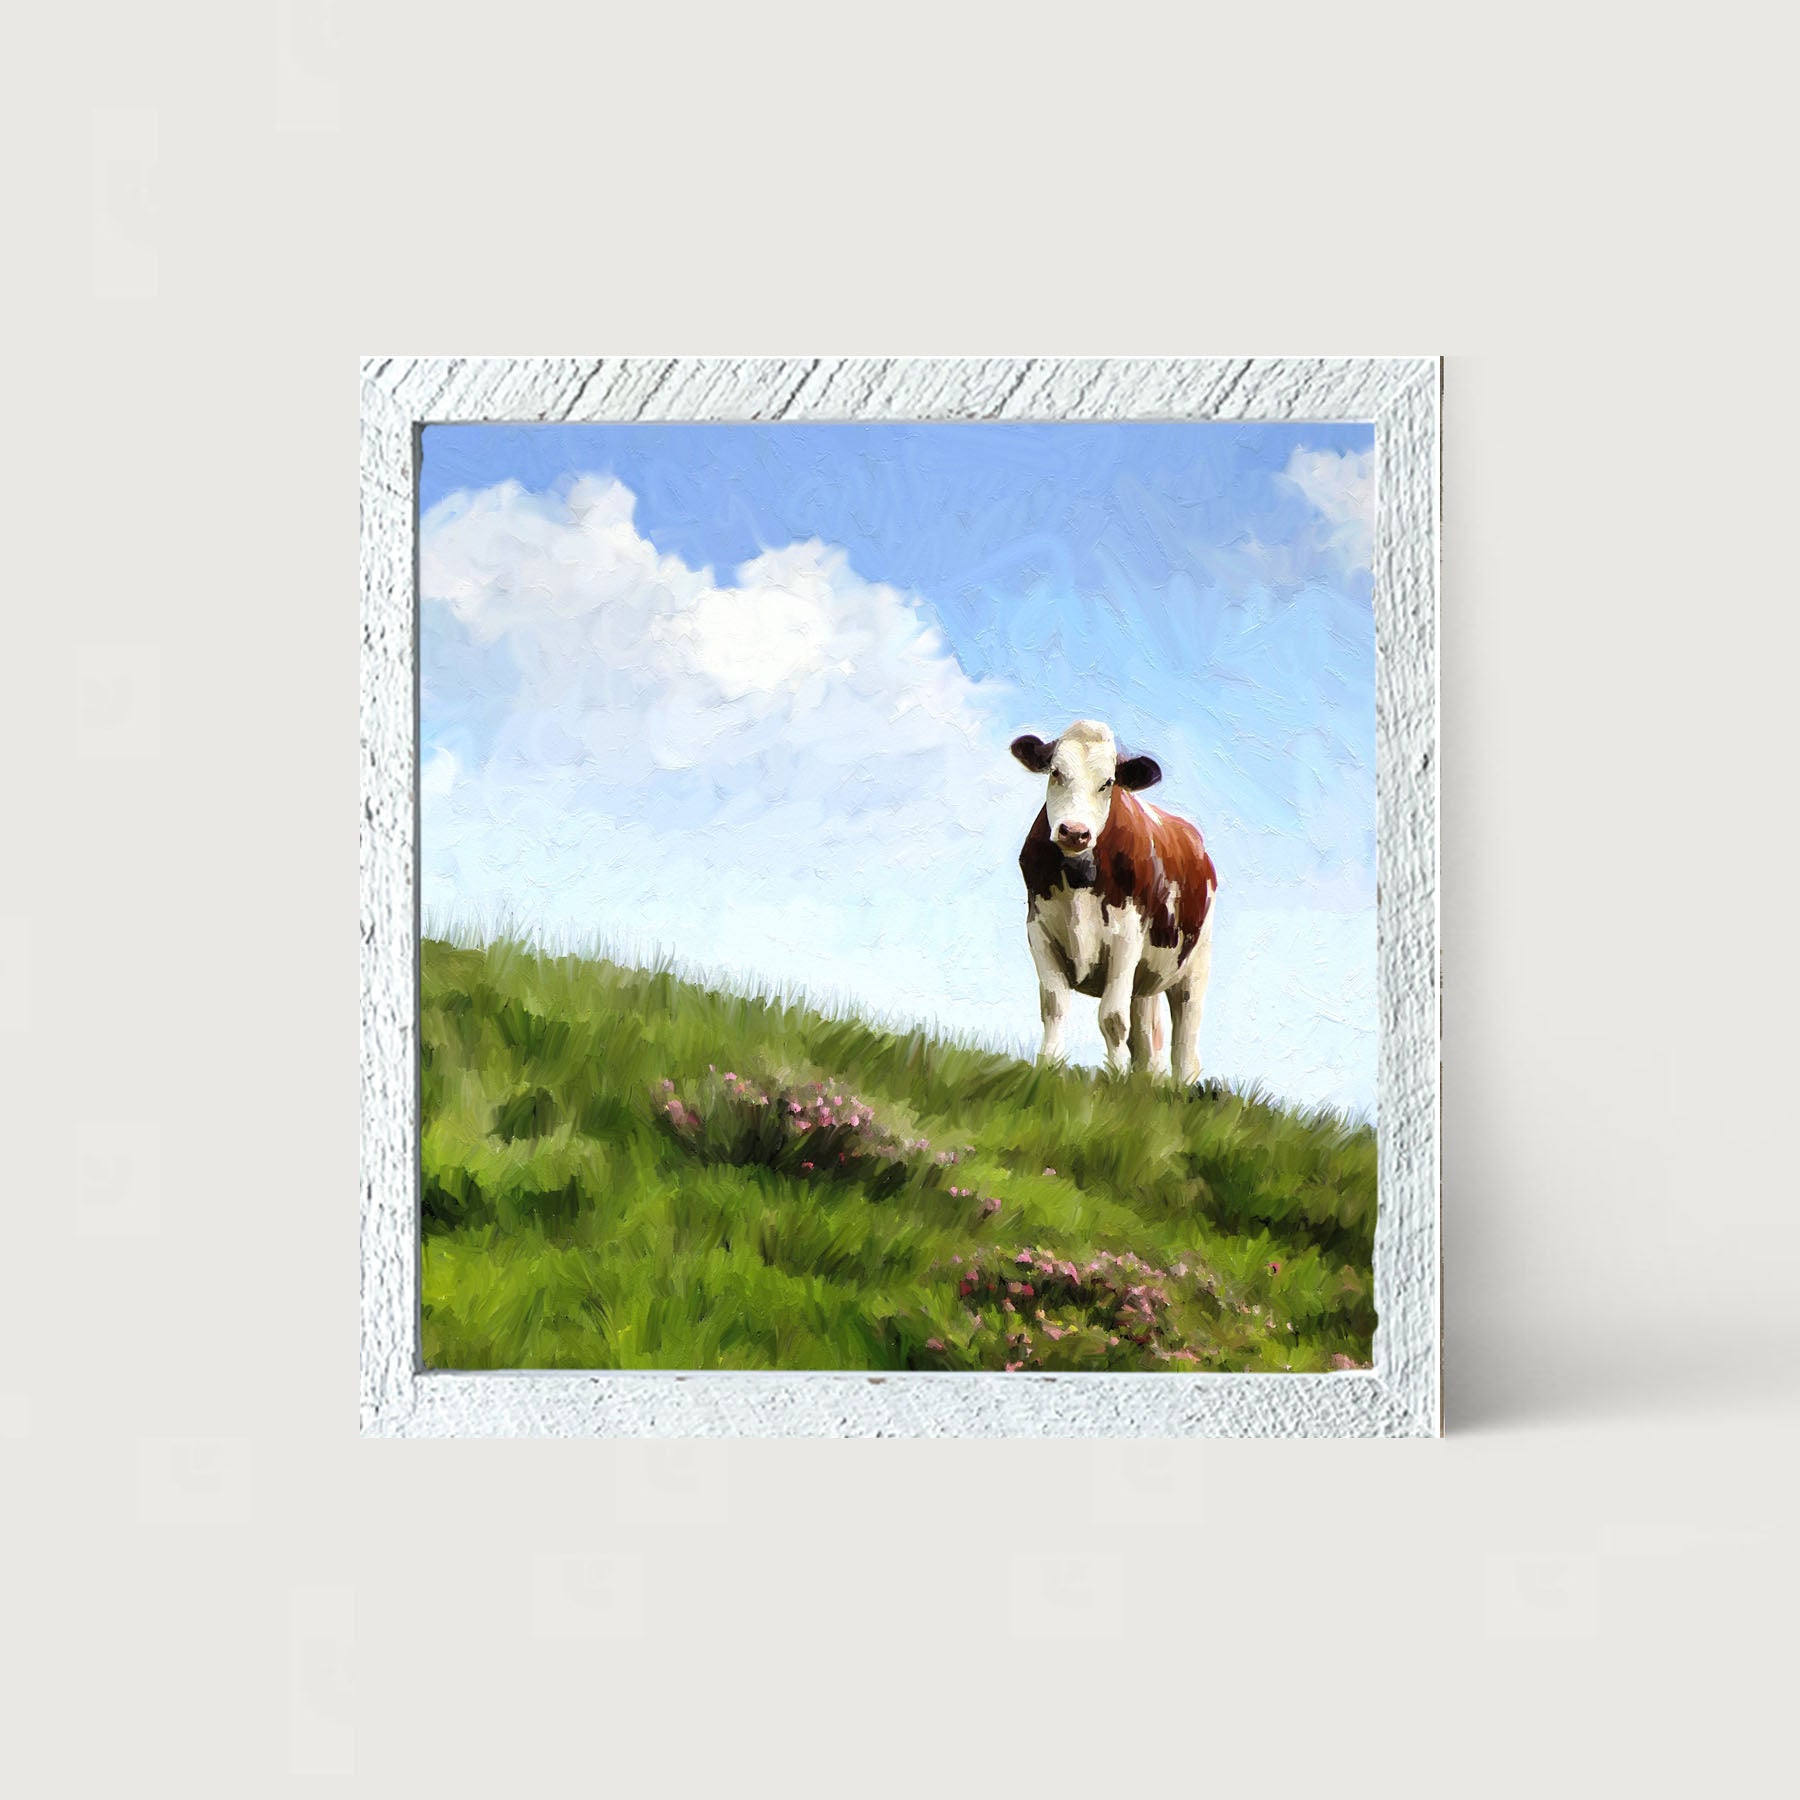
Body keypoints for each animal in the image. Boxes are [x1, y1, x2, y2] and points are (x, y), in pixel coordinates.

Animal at [1010, 720, 1218, 1083]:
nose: (1074, 831)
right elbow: (1053, 1004)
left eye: (1107, 783)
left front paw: (1116, 1079)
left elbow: (1112, 1018)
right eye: (1055, 772)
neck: (1079, 875)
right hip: (1145, 983)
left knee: (1185, 1043)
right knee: (1148, 1040)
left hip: (1194, 967)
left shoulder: (1126, 939)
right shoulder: (1039, 930)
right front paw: (1048, 1065)